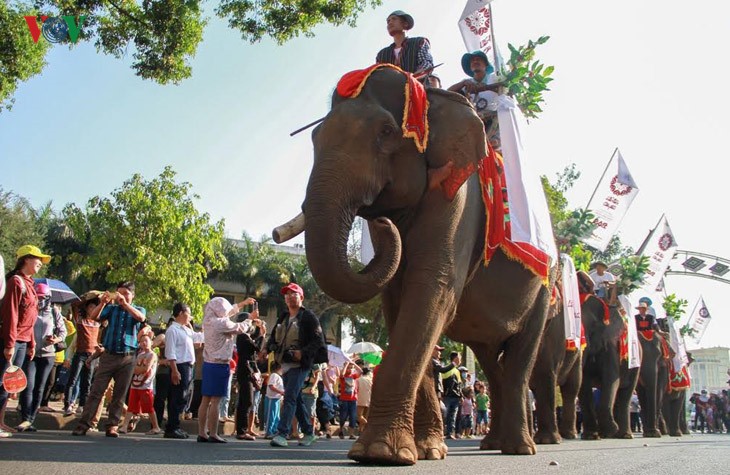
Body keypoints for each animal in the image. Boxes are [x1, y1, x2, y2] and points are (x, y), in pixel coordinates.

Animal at [272, 64, 552, 464]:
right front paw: (427, 449)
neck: (433, 102)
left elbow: (432, 292)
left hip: (545, 288)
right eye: (315, 136)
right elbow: (398, 304)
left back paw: (519, 448)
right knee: (491, 360)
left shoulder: (459, 201)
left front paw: (378, 453)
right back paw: (494, 444)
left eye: (386, 133)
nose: (381, 222)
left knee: (520, 358)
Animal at [528, 306, 580, 444]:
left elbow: (545, 372)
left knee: (571, 389)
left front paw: (547, 440)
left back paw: (569, 435)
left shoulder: (555, 333)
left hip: (577, 356)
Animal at [576, 296, 636, 440]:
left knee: (626, 393)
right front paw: (591, 436)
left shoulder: (610, 343)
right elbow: (584, 384)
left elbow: (611, 379)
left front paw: (611, 430)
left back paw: (623, 435)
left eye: (585, 333)